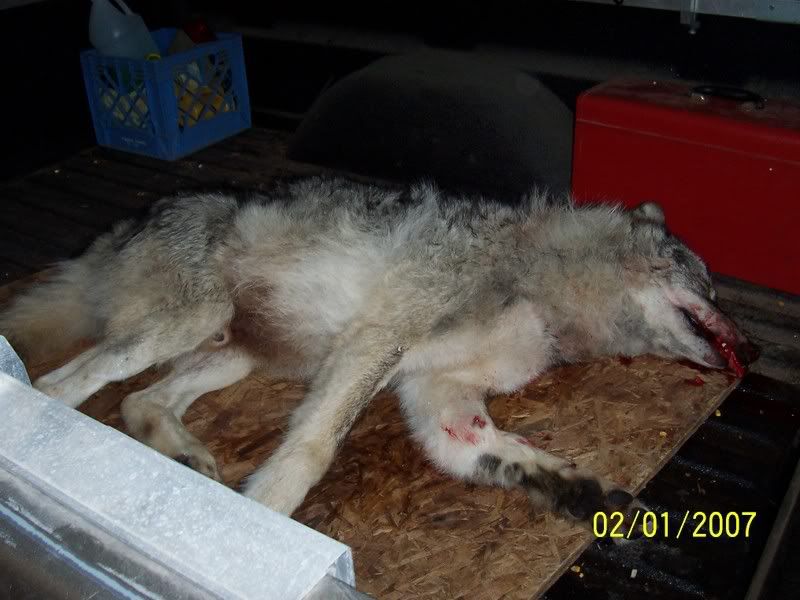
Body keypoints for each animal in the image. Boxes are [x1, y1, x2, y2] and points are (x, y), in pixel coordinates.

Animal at [0, 175, 757, 526]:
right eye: (709, 284)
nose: (748, 346)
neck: (540, 284)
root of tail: (129, 222)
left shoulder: (438, 399)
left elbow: (504, 455)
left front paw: (583, 491)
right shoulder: (377, 342)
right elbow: (311, 451)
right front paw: (265, 524)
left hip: (238, 354)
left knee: (138, 398)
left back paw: (182, 455)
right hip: (197, 322)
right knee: (65, 385)